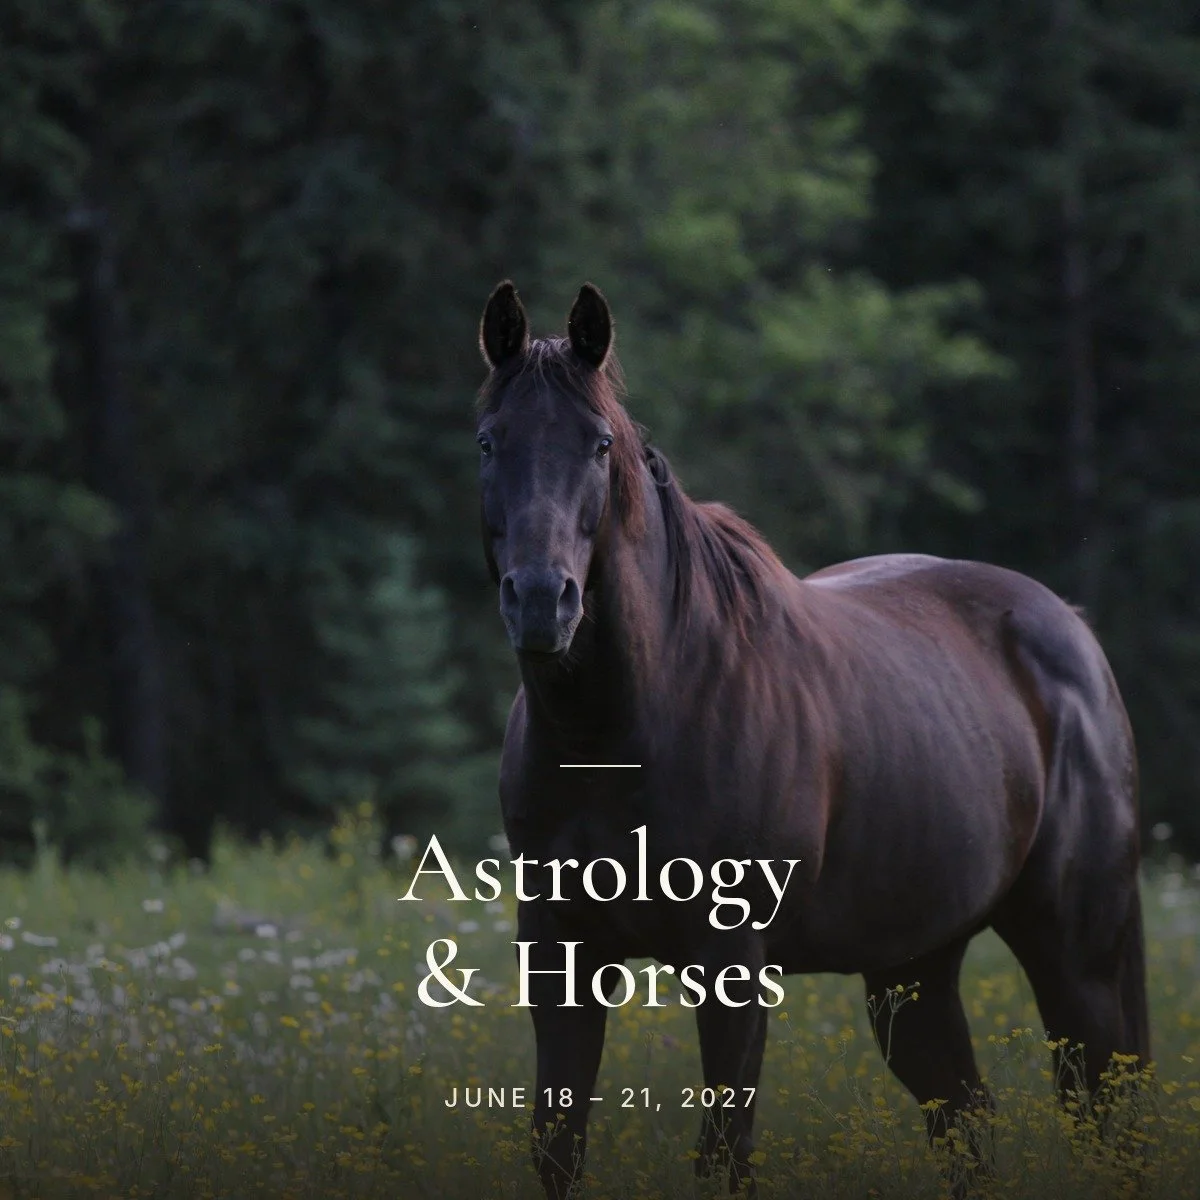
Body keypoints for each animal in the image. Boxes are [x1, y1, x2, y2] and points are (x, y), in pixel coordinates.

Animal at [475, 279, 1148, 1198]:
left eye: (600, 444)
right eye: (488, 441)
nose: (543, 601)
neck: (625, 729)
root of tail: (1072, 631)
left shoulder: (730, 967)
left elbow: (723, 1155)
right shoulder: (560, 956)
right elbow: (557, 1145)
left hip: (1077, 956)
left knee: (1100, 1116)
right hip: (913, 969)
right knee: (968, 1121)